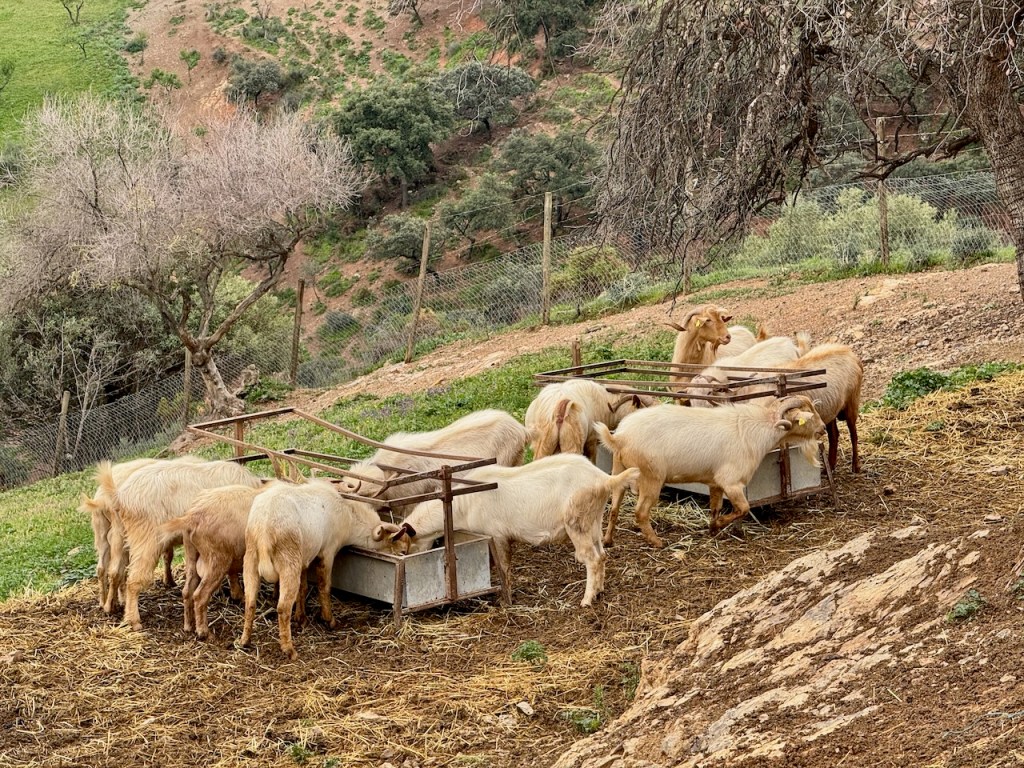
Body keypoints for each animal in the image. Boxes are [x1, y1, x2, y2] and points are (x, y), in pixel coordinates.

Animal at [102, 458, 264, 629]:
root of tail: (119, 496)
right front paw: (237, 594)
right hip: (146, 539)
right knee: (133, 580)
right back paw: (134, 621)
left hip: (119, 534)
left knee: (115, 572)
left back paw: (110, 607)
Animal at [237, 478, 390, 660]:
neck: (350, 515)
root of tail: (264, 529)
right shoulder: (328, 552)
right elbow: (324, 586)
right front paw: (329, 620)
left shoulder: (304, 559)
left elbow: (303, 588)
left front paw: (301, 618)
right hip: (288, 563)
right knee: (282, 608)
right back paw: (289, 650)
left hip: (251, 559)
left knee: (250, 602)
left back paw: (244, 641)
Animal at [382, 455, 640, 607]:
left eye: (403, 551)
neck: (461, 503)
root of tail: (604, 479)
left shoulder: (496, 535)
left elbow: (503, 566)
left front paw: (506, 598)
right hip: (593, 520)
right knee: (602, 555)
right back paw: (599, 590)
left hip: (577, 521)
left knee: (592, 558)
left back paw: (586, 600)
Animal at [595, 395, 826, 546]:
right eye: (809, 416)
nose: (823, 428)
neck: (755, 429)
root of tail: (620, 438)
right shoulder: (731, 482)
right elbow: (743, 508)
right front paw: (720, 525)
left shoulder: (715, 483)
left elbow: (715, 507)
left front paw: (713, 528)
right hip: (651, 477)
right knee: (640, 512)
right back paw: (657, 542)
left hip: (619, 470)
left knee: (614, 506)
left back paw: (608, 540)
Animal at [731, 344, 864, 473]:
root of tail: (849, 352)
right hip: (832, 411)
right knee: (834, 435)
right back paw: (830, 467)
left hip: (852, 404)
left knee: (853, 434)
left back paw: (855, 466)